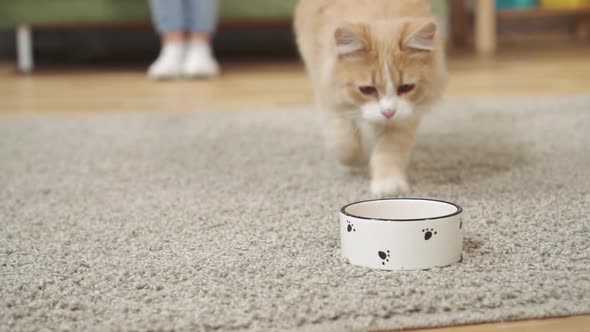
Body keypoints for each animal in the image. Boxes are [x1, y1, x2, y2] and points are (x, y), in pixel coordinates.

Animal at [296, 0, 448, 196]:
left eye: (406, 88)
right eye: (367, 89)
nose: (388, 112)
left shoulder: (403, 118)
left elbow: (389, 151)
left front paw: (388, 184)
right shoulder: (328, 94)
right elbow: (343, 137)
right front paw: (353, 158)